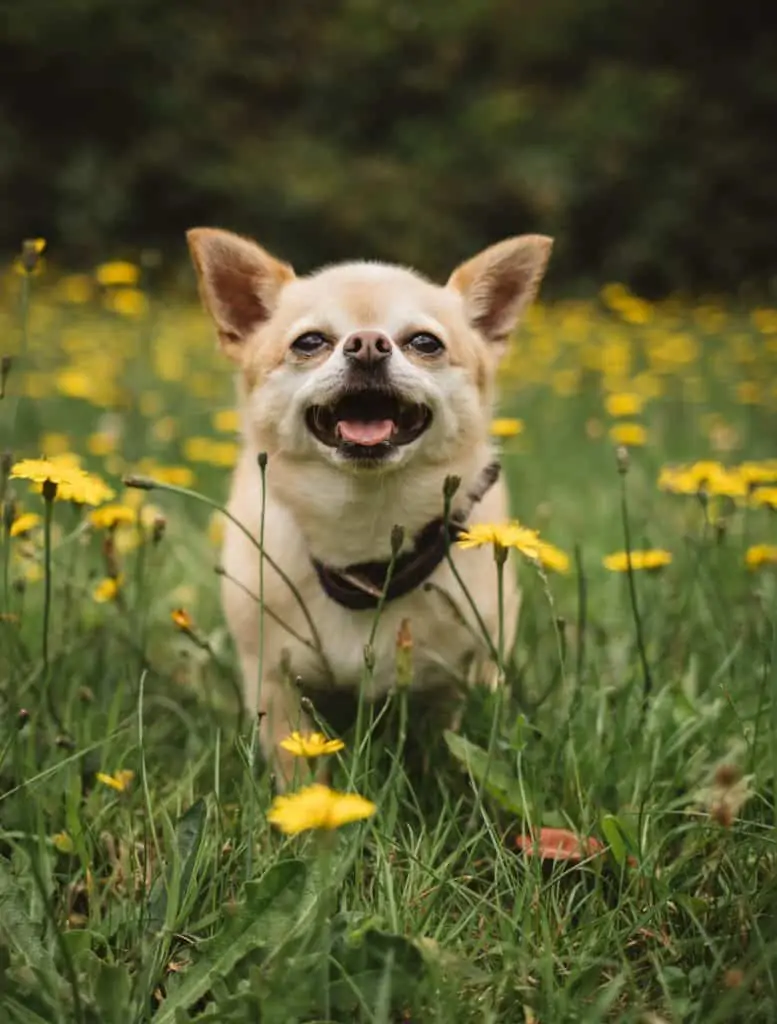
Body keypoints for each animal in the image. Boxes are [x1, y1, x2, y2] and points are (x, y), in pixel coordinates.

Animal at [188, 226, 552, 782]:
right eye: (309, 342)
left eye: (424, 343)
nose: (366, 344)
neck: (367, 537)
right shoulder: (273, 679)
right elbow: (297, 764)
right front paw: (306, 806)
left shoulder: (472, 671)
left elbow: (458, 745)